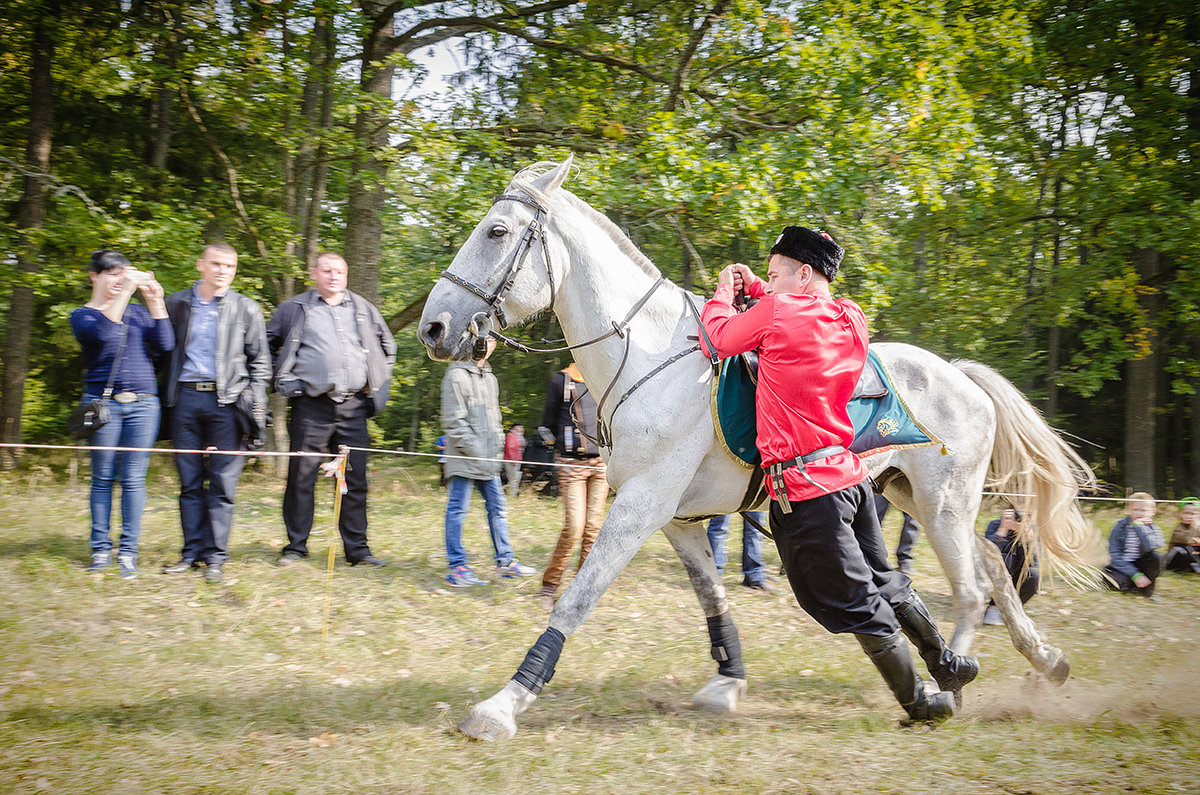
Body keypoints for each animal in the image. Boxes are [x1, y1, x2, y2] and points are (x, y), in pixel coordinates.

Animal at [415, 158, 1099, 744]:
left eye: (497, 231)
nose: (434, 328)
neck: (646, 357)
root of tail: (962, 376)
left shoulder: (639, 507)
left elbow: (577, 597)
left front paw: (503, 705)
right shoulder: (675, 517)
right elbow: (712, 597)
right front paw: (727, 681)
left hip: (942, 506)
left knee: (971, 590)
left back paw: (951, 684)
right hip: (911, 498)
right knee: (987, 570)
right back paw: (1040, 660)